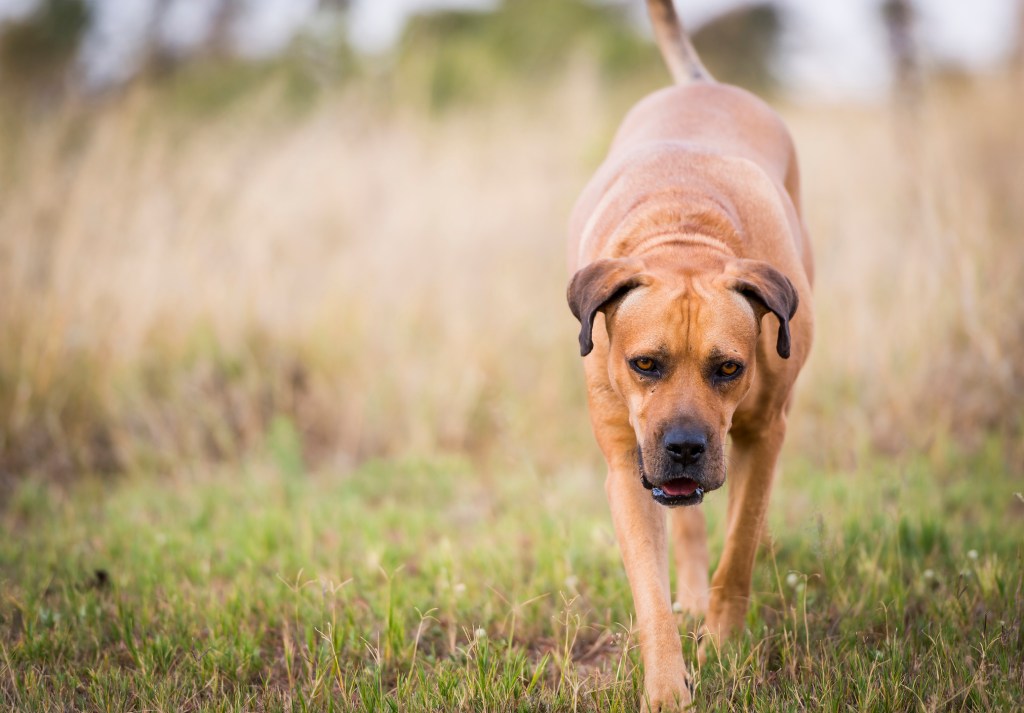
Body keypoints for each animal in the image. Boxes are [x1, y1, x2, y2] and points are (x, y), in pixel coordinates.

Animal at [565, 2, 811, 708]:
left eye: (729, 368)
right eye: (644, 364)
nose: (683, 447)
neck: (684, 236)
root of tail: (703, 83)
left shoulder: (765, 432)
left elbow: (741, 546)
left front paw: (723, 645)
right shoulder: (627, 466)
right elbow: (649, 590)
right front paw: (667, 685)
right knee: (690, 527)